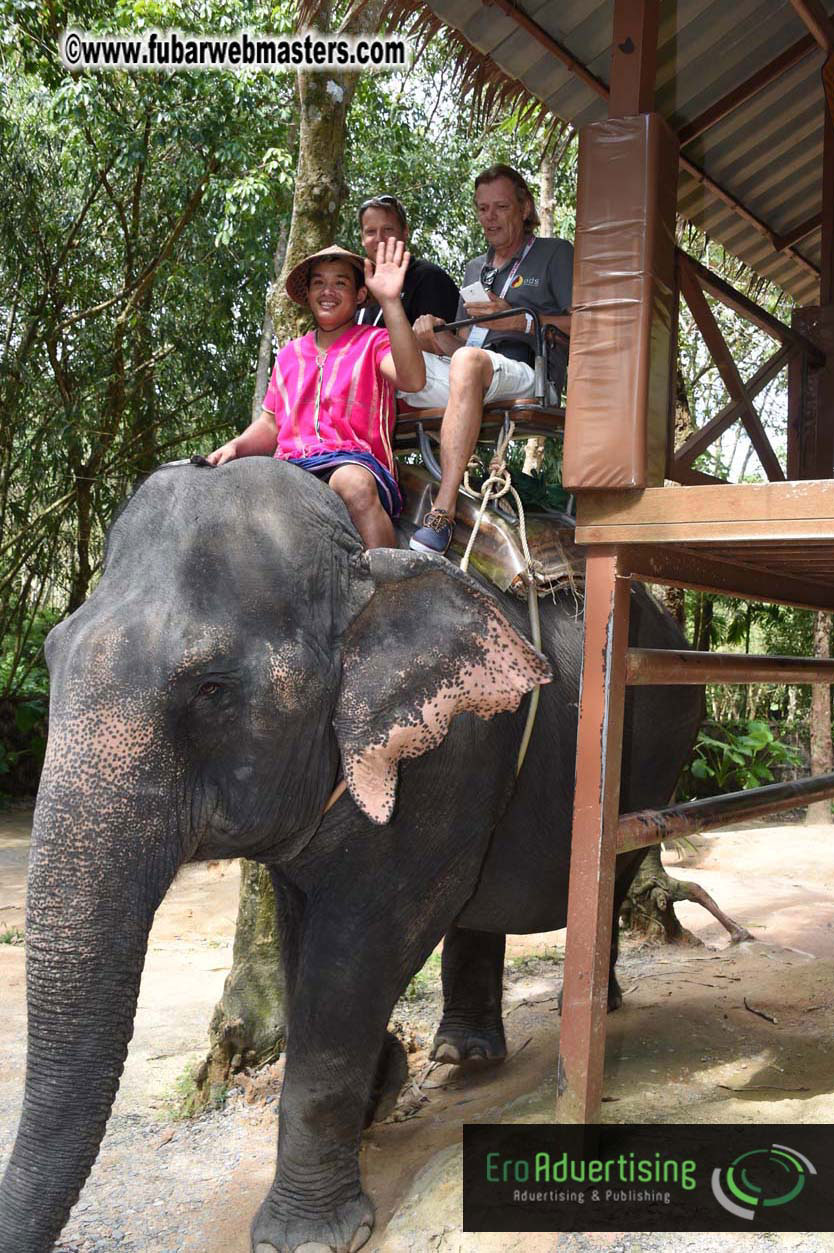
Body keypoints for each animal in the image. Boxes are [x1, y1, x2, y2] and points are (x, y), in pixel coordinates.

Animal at [0, 456, 702, 1253]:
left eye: (211, 688)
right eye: (50, 654)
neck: (356, 565)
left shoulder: (445, 751)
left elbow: (365, 944)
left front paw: (307, 1236)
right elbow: (305, 936)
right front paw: (384, 1082)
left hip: (657, 737)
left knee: (615, 865)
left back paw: (587, 1008)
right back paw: (462, 1056)